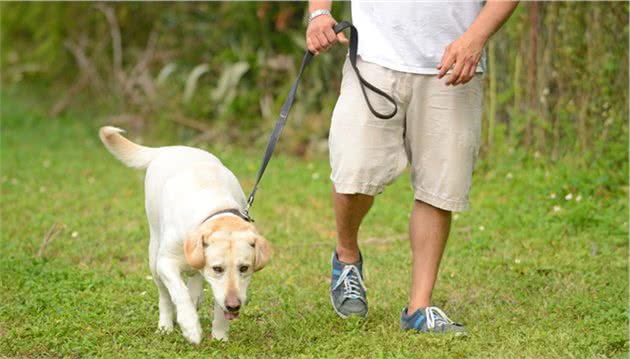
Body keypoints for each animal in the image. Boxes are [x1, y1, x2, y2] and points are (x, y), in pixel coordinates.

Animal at [98, 126, 270, 344]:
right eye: (217, 268)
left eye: (244, 268)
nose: (234, 305)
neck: (215, 208)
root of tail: (171, 148)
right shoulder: (166, 262)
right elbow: (179, 293)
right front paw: (190, 326)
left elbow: (216, 304)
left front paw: (220, 336)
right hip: (154, 256)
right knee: (165, 295)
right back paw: (165, 325)